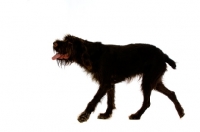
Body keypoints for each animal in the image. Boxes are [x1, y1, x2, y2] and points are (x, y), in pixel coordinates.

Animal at [51, 34, 184, 122]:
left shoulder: (105, 83)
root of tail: (163, 54)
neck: (91, 54)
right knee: (171, 93)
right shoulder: (110, 84)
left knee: (147, 102)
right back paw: (181, 113)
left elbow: (94, 100)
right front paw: (107, 114)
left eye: (70, 43)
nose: (54, 43)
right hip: (155, 82)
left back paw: (136, 115)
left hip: (147, 82)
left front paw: (84, 115)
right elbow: (110, 101)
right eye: (64, 39)